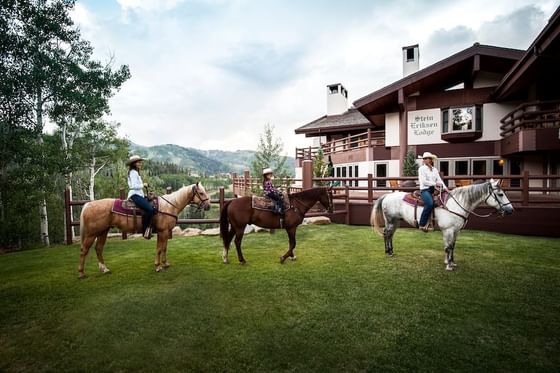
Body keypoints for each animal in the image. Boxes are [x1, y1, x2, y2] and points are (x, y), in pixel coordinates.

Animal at [77, 182, 211, 278]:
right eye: (201, 193)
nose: (208, 206)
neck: (169, 205)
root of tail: (88, 204)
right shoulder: (162, 232)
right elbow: (159, 249)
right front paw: (158, 266)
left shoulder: (165, 232)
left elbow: (164, 248)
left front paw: (165, 263)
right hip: (91, 234)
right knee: (84, 250)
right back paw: (81, 273)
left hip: (103, 232)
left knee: (98, 249)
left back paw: (104, 269)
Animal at [370, 179, 516, 268]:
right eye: (500, 194)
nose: (510, 210)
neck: (457, 204)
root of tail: (387, 195)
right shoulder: (448, 230)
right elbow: (447, 247)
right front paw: (448, 266)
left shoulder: (456, 231)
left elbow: (452, 246)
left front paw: (452, 262)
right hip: (390, 221)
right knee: (386, 234)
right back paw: (388, 252)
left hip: (396, 222)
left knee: (390, 235)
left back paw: (391, 251)